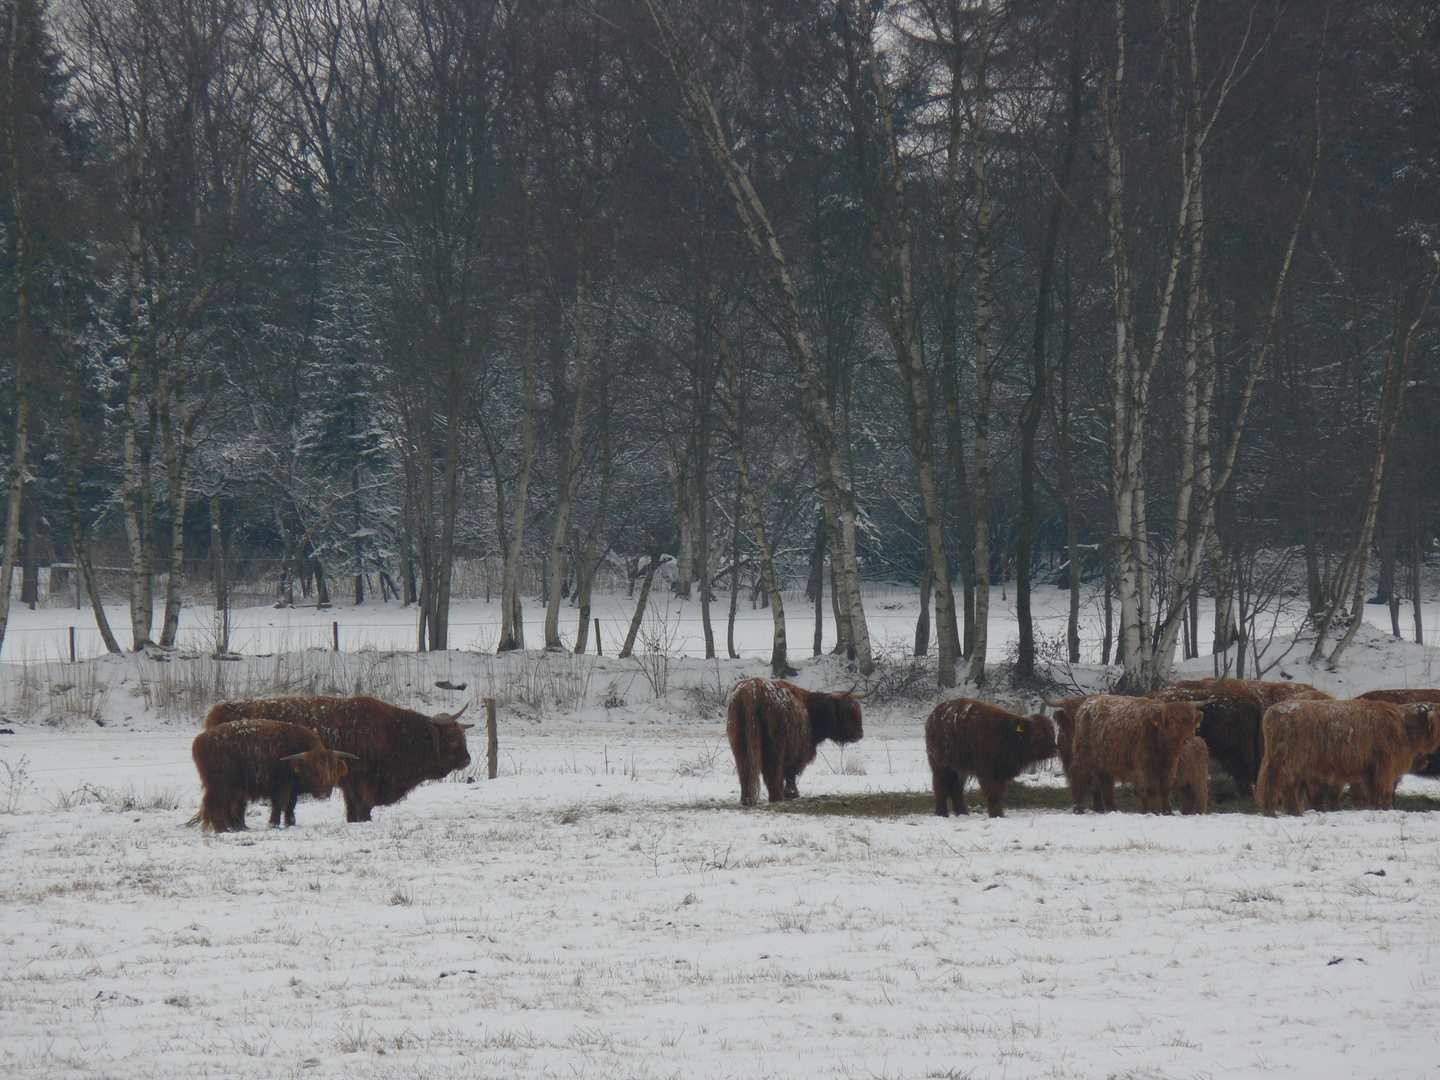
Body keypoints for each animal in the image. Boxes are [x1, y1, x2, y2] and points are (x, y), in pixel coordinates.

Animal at [190, 722, 355, 835]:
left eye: (332, 770)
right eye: (311, 770)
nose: (322, 794)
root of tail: (199, 740)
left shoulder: (292, 791)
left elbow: (290, 806)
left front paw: (290, 823)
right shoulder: (282, 788)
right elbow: (279, 805)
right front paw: (274, 824)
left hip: (230, 788)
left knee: (224, 806)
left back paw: (236, 827)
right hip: (220, 786)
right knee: (214, 804)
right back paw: (222, 829)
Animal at [201, 696, 472, 823]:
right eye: (453, 736)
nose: (467, 760)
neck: (394, 733)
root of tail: (218, 711)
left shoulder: (351, 784)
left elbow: (353, 810)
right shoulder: (363, 782)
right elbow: (363, 808)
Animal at [725, 679, 858, 806]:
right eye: (848, 711)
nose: (859, 733)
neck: (809, 708)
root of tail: (752, 689)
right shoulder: (799, 753)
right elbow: (791, 773)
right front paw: (793, 793)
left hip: (739, 744)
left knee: (744, 769)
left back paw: (746, 799)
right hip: (776, 746)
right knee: (773, 769)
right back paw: (777, 797)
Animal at [921, 702, 1059, 817]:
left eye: (1052, 733)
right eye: (1040, 734)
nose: (1055, 750)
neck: (1008, 735)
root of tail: (934, 714)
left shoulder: (1001, 773)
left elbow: (998, 793)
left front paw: (999, 813)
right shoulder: (987, 771)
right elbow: (993, 793)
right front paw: (996, 814)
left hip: (959, 768)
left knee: (956, 788)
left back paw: (962, 812)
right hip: (940, 765)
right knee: (940, 786)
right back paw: (942, 813)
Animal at [1065, 696, 1198, 817]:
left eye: (1192, 723)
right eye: (1172, 722)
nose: (1188, 741)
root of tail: (1086, 704)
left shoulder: (1170, 767)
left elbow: (1165, 789)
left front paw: (1168, 812)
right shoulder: (1145, 766)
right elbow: (1152, 789)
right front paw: (1155, 811)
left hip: (1104, 760)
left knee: (1105, 782)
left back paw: (1112, 809)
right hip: (1083, 753)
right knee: (1077, 774)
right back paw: (1078, 808)